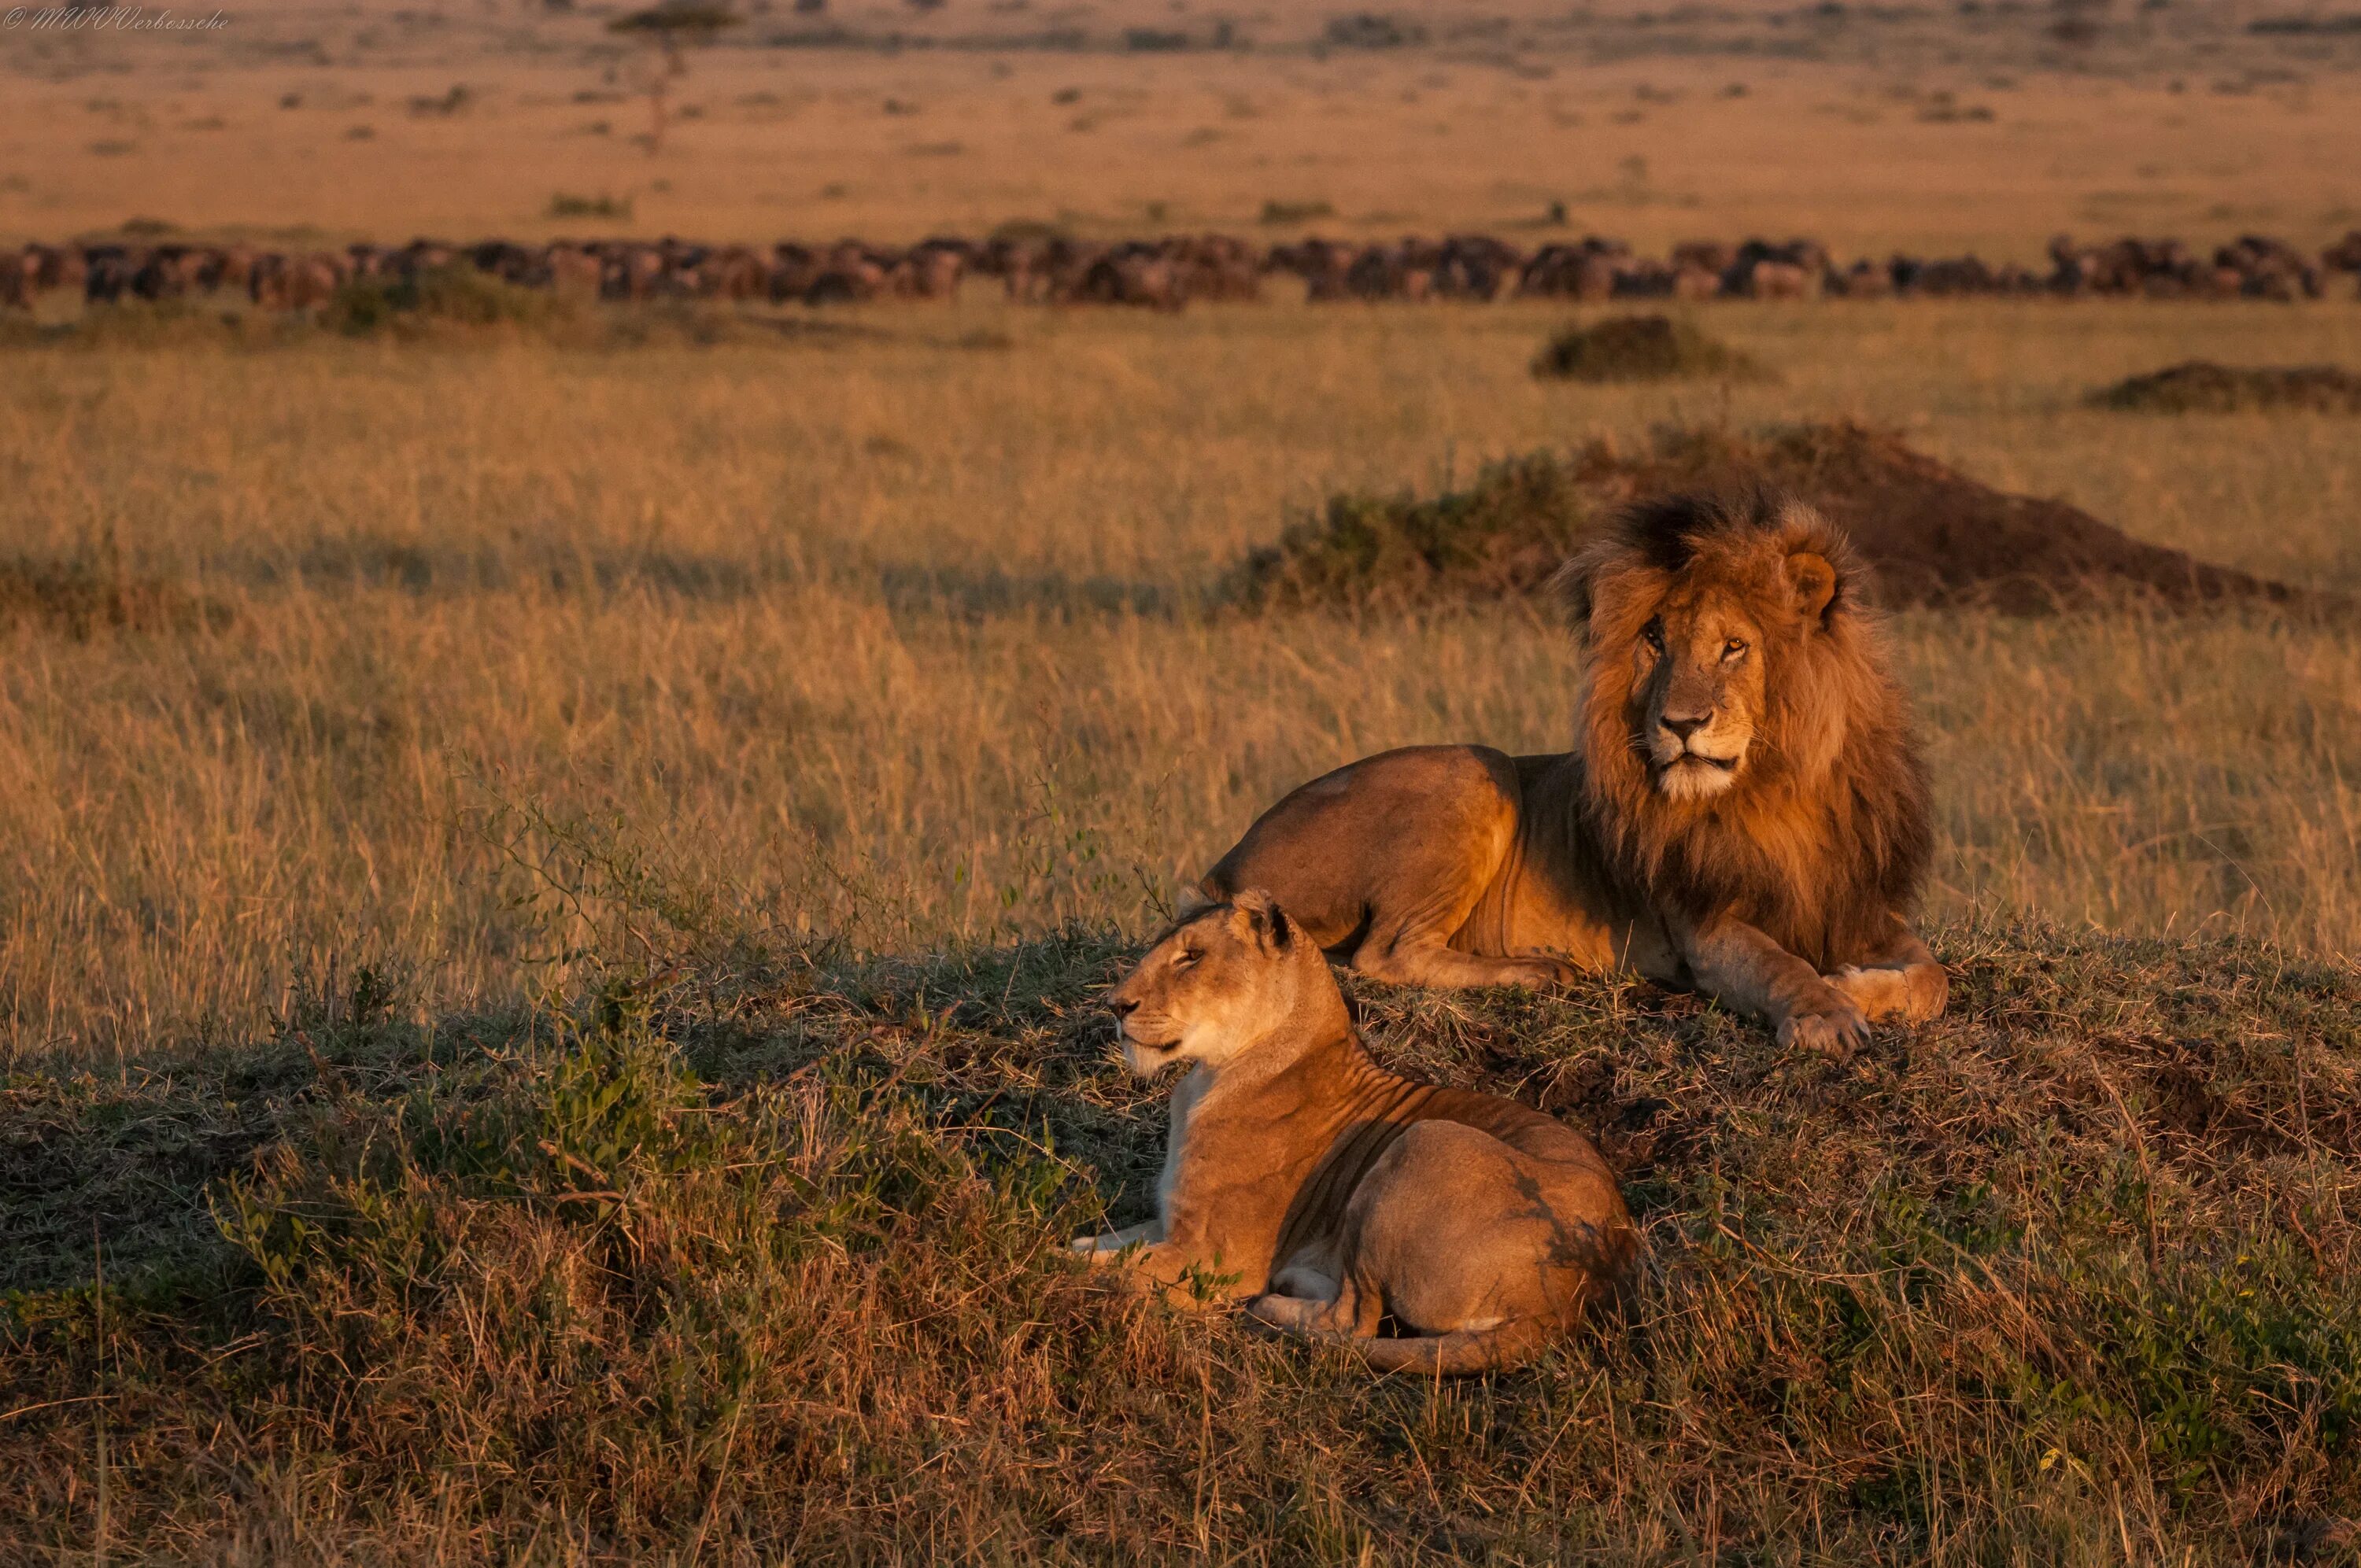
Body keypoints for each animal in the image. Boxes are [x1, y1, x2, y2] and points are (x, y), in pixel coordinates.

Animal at [1081, 892, 1634, 1369]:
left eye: (1191, 957)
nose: (1114, 1005)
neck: (1209, 1076)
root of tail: (1568, 1303)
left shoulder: (1212, 1257)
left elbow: (1103, 1272)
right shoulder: (1170, 1225)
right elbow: (1094, 1246)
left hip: (1421, 1140)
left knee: (1352, 1321)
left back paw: (1275, 1302)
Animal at [1209, 493, 1945, 1053]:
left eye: (1735, 647)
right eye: (1655, 641)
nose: (1680, 723)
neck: (1778, 790)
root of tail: (1228, 858)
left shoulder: (1855, 899)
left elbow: (1934, 976)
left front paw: (1851, 983)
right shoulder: (1703, 925)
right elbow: (1777, 961)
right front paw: (1826, 1013)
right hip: (1478, 770)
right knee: (1385, 954)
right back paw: (1543, 971)